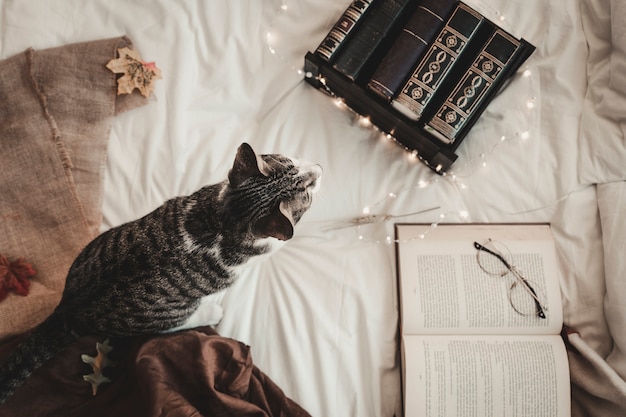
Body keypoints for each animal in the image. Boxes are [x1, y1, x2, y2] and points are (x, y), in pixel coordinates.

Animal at [0, 141, 320, 402]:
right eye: (306, 194)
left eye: (289, 159)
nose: (318, 168)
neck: (223, 218)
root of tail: (69, 309)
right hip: (170, 312)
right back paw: (210, 312)